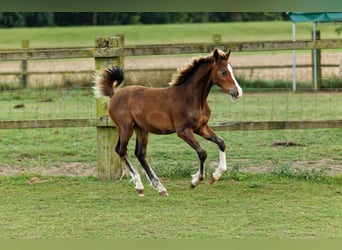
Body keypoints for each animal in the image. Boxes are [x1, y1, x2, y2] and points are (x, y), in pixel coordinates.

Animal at [95, 48, 242, 196]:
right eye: (223, 71)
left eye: (231, 69)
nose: (237, 92)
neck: (191, 98)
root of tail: (114, 94)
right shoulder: (183, 131)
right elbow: (202, 152)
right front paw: (195, 181)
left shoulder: (201, 127)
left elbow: (221, 142)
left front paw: (215, 176)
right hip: (126, 128)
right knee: (121, 151)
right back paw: (140, 186)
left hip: (141, 129)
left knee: (140, 154)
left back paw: (160, 188)